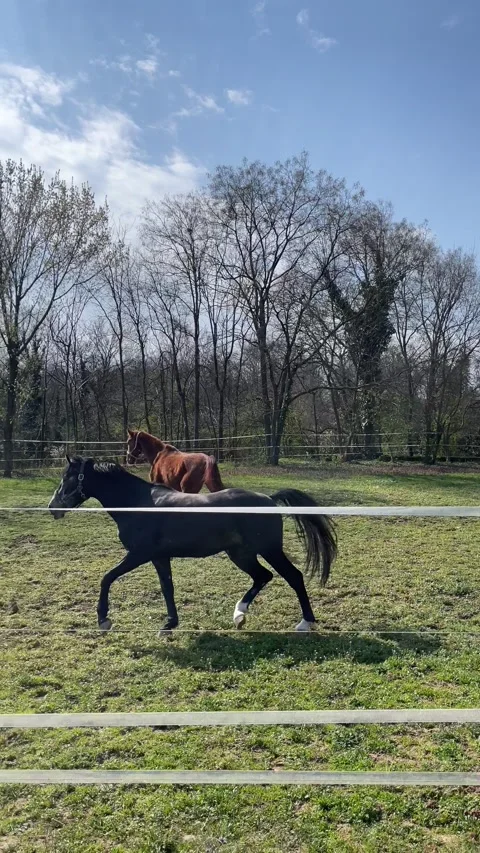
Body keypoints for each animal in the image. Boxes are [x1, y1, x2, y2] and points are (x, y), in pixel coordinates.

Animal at [48, 457, 337, 633]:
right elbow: (167, 588)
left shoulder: (139, 554)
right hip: (241, 554)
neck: (138, 503)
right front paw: (169, 625)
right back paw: (239, 615)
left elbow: (107, 577)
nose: (53, 507)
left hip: (268, 550)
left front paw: (104, 619)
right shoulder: (159, 557)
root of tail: (269, 499)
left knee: (293, 576)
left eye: (68, 477)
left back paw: (305, 623)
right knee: (263, 576)